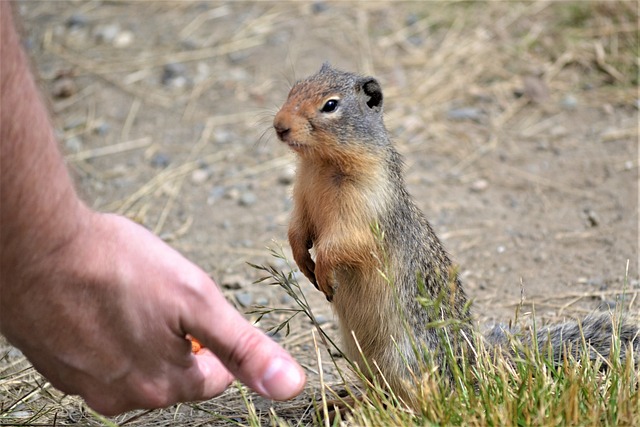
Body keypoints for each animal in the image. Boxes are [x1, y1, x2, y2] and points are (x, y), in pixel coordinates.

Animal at [274, 62, 640, 408]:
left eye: (330, 105)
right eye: (292, 89)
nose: (279, 125)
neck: (321, 166)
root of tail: (474, 360)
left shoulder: (363, 213)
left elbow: (343, 244)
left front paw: (323, 271)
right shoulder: (303, 199)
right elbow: (297, 230)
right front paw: (303, 261)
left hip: (403, 359)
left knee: (416, 398)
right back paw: (343, 402)